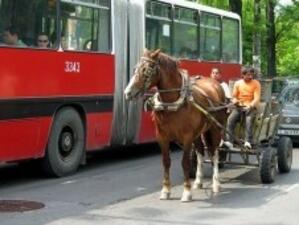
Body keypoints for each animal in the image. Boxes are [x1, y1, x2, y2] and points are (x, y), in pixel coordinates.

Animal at [124, 49, 227, 202]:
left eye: (147, 70)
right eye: (135, 68)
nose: (128, 92)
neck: (173, 103)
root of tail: (214, 83)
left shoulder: (187, 137)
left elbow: (185, 162)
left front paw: (187, 192)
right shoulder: (162, 137)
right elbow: (166, 161)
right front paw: (166, 190)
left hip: (214, 129)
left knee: (214, 152)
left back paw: (216, 183)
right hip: (198, 133)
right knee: (200, 152)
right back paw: (198, 181)